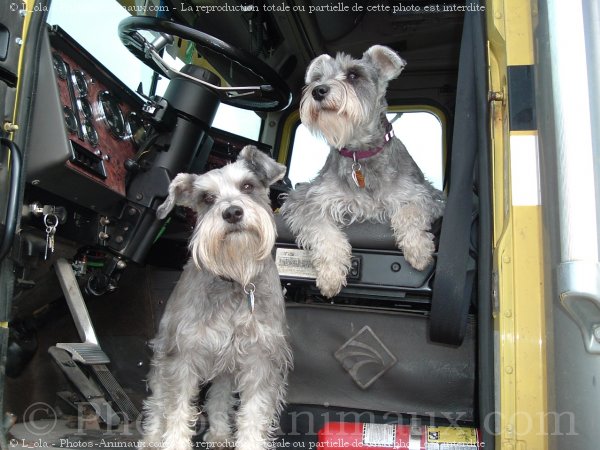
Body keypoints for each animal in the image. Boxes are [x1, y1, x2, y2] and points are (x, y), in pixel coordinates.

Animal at [144, 145, 294, 450]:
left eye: (247, 186)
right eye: (207, 198)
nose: (233, 212)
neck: (236, 280)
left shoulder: (261, 359)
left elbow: (253, 414)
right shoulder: (183, 355)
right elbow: (176, 408)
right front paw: (172, 442)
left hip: (226, 366)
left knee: (219, 397)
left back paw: (220, 434)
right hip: (163, 353)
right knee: (157, 400)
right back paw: (151, 437)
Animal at [278, 44, 442, 298]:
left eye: (354, 75)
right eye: (317, 78)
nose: (318, 91)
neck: (359, 153)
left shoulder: (427, 194)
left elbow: (410, 211)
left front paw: (418, 249)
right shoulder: (304, 200)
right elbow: (323, 231)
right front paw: (331, 276)